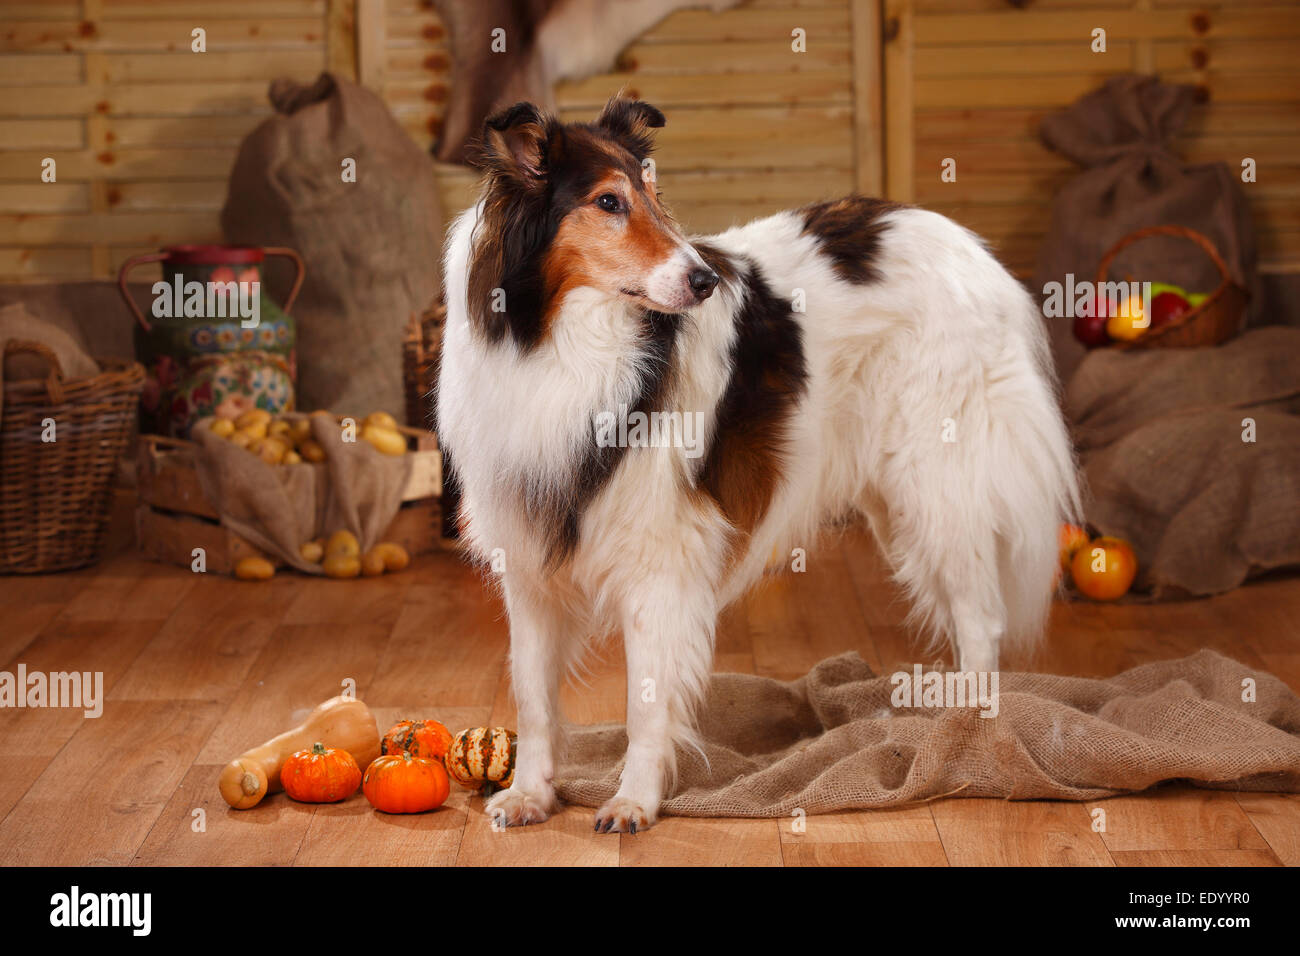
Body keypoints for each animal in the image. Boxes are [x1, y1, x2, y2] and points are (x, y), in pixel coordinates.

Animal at [436, 93, 1076, 832]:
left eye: (652, 193)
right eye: (608, 202)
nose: (706, 280)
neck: (563, 346)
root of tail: (969, 247)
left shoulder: (661, 564)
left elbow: (645, 701)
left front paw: (633, 800)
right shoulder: (530, 563)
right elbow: (534, 695)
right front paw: (532, 794)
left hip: (937, 482)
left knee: (981, 618)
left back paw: (966, 730)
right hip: (899, 502)